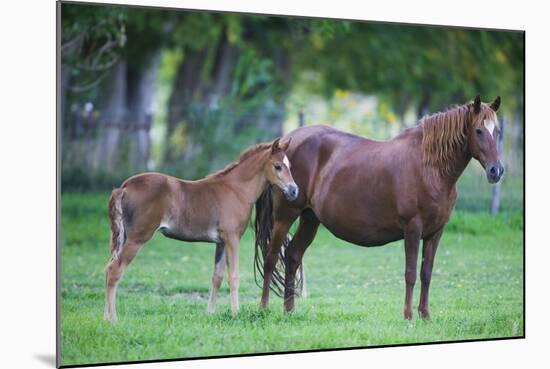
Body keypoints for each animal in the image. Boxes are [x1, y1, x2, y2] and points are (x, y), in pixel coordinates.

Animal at [105, 137, 300, 320]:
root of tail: (124, 188)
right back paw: (113, 320)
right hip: (138, 237)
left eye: (290, 166)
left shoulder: (221, 242)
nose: (294, 191)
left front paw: (210, 313)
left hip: (124, 238)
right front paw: (236, 313)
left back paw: (105, 317)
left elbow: (217, 277)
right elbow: (234, 276)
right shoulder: (232, 238)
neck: (236, 190)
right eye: (277, 166)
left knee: (108, 269)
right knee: (115, 270)